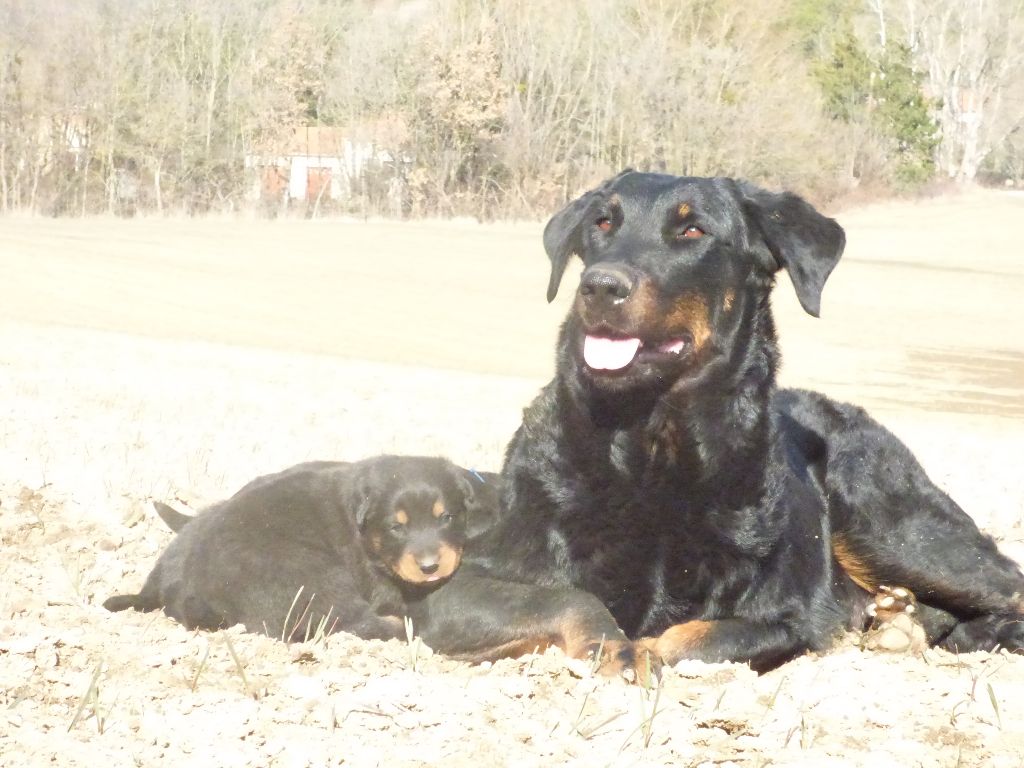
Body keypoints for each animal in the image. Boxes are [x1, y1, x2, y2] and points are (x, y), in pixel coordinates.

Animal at [446, 169, 1024, 671]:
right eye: (602, 223)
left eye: (693, 230)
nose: (600, 285)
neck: (653, 448)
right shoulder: (461, 585)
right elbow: (569, 597)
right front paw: (614, 645)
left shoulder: (789, 614)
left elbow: (688, 638)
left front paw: (644, 650)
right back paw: (902, 624)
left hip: (888, 526)